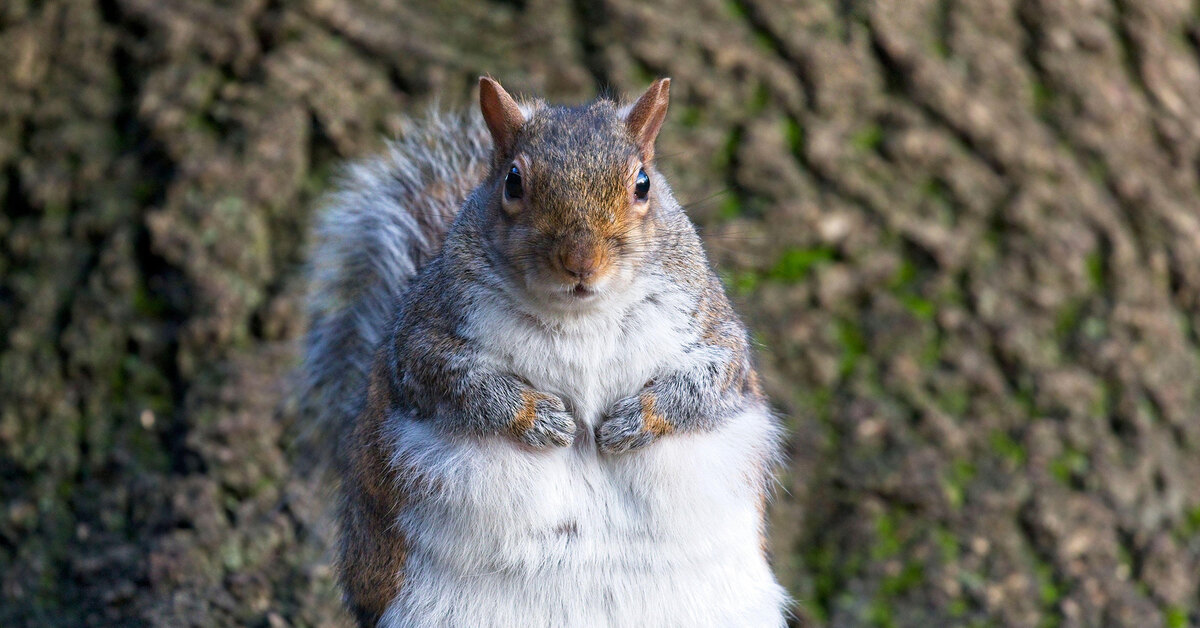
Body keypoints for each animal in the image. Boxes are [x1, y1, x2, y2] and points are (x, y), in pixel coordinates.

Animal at [300, 78, 787, 628]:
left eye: (643, 183)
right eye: (513, 182)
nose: (581, 261)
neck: (581, 315)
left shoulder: (711, 331)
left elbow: (707, 385)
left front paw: (630, 423)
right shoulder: (424, 338)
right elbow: (460, 387)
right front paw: (543, 420)